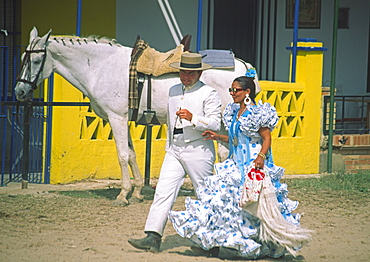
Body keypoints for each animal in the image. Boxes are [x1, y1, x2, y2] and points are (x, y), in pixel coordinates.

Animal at [13, 27, 258, 207]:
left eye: (36, 61)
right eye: (24, 58)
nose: (20, 92)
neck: (101, 67)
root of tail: (243, 65)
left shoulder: (117, 118)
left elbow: (122, 155)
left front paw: (123, 195)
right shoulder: (123, 119)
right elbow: (130, 154)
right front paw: (138, 191)